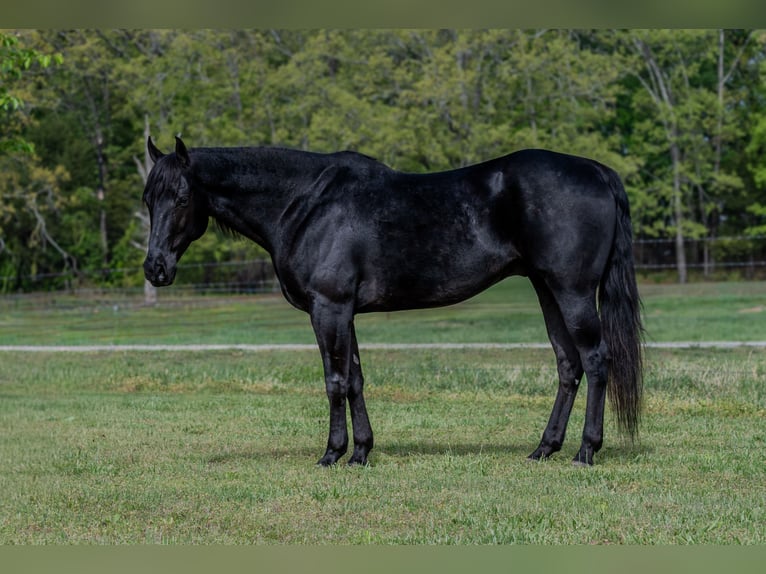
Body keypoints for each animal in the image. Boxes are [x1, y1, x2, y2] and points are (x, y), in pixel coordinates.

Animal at [142, 136, 643, 467]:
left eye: (181, 197)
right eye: (148, 198)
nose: (155, 269)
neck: (306, 203)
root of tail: (597, 171)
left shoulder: (329, 308)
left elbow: (334, 381)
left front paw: (332, 454)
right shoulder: (344, 312)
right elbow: (356, 379)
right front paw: (361, 452)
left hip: (572, 292)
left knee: (596, 360)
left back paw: (585, 451)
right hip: (547, 290)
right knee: (568, 364)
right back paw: (544, 448)